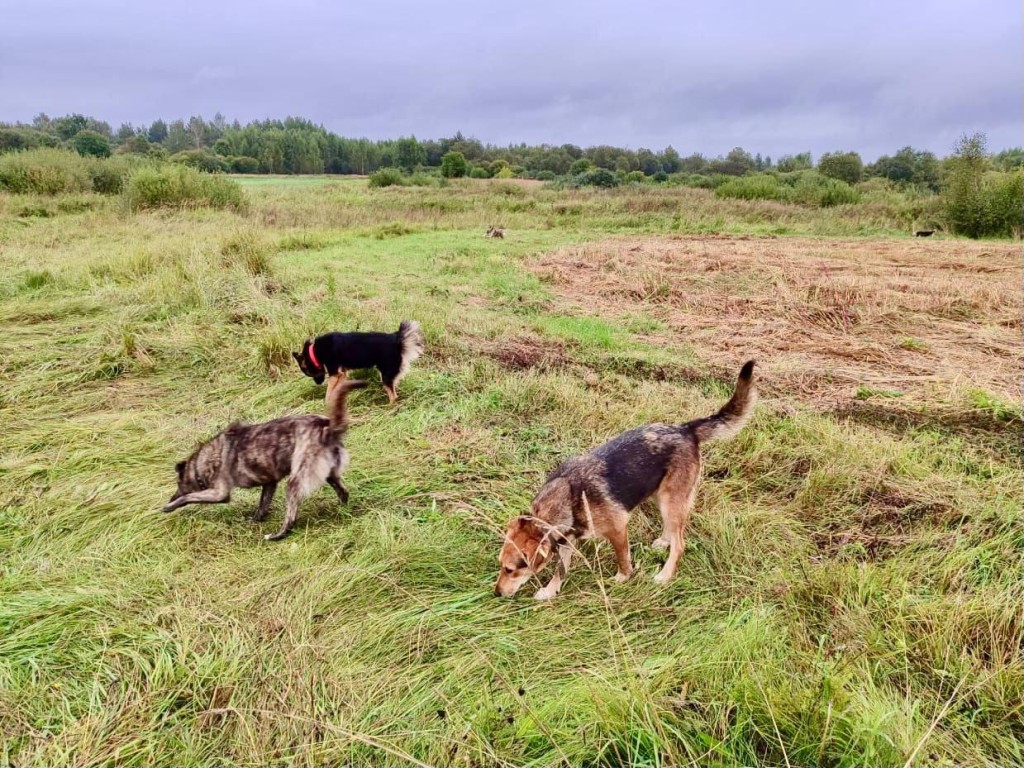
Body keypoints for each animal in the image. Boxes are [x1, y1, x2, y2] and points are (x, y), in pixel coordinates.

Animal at [161, 378, 366, 540]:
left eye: (178, 484)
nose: (170, 497)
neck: (203, 461)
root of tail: (327, 428)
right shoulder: (269, 483)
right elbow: (262, 505)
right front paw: (255, 520)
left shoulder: (219, 493)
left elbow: (189, 497)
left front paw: (171, 505)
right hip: (329, 475)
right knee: (343, 492)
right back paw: (341, 511)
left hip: (295, 481)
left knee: (291, 517)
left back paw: (278, 535)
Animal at [292, 319, 423, 405]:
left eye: (309, 373)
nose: (318, 384)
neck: (314, 351)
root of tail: (397, 341)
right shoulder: (342, 373)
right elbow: (337, 389)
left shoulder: (334, 374)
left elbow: (329, 391)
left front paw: (326, 402)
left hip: (385, 375)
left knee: (394, 396)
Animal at [491, 362, 757, 602]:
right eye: (501, 565)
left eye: (510, 569)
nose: (496, 593)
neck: (570, 499)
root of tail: (686, 429)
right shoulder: (566, 540)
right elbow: (561, 568)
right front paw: (550, 590)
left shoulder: (618, 529)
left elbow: (622, 558)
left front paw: (623, 578)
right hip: (661, 496)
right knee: (673, 529)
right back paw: (664, 541)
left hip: (671, 499)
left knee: (680, 543)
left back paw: (665, 575)